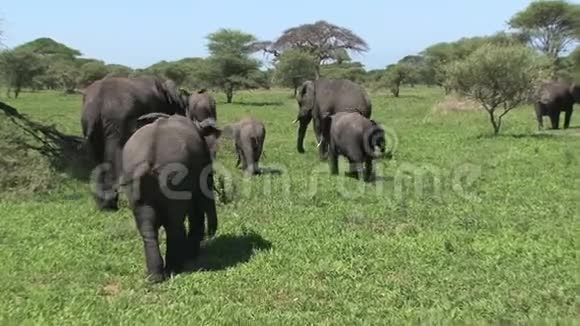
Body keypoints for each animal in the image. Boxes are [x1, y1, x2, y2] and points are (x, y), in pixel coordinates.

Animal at [79, 76, 187, 211]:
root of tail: (98, 102)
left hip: (88, 121)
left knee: (97, 157)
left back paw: (103, 205)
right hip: (116, 121)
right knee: (113, 155)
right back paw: (111, 206)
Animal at [121, 113, 221, 282]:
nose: (211, 234)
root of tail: (149, 159)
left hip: (135, 180)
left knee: (148, 226)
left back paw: (155, 276)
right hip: (175, 177)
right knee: (174, 223)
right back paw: (175, 267)